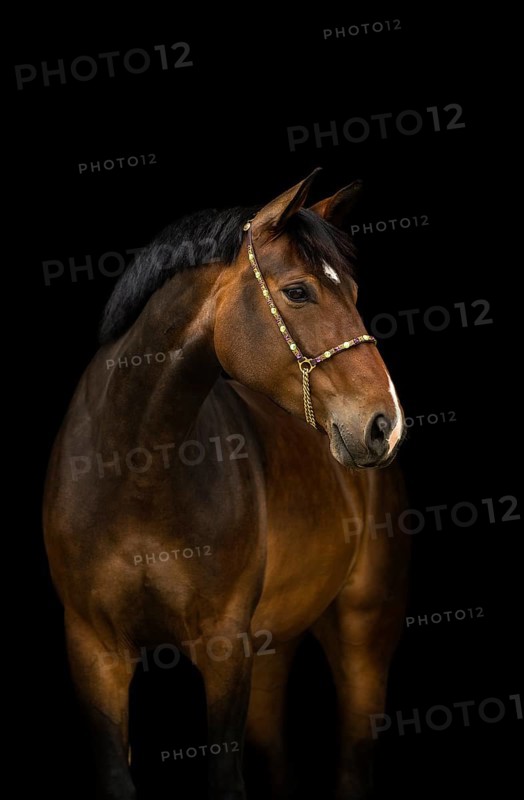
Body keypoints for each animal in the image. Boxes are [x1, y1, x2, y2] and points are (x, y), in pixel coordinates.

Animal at [43, 169, 410, 800]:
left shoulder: (223, 649)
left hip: (362, 634)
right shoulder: (94, 650)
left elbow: (224, 777)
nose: (383, 424)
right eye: (298, 292)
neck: (133, 476)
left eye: (357, 294)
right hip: (273, 647)